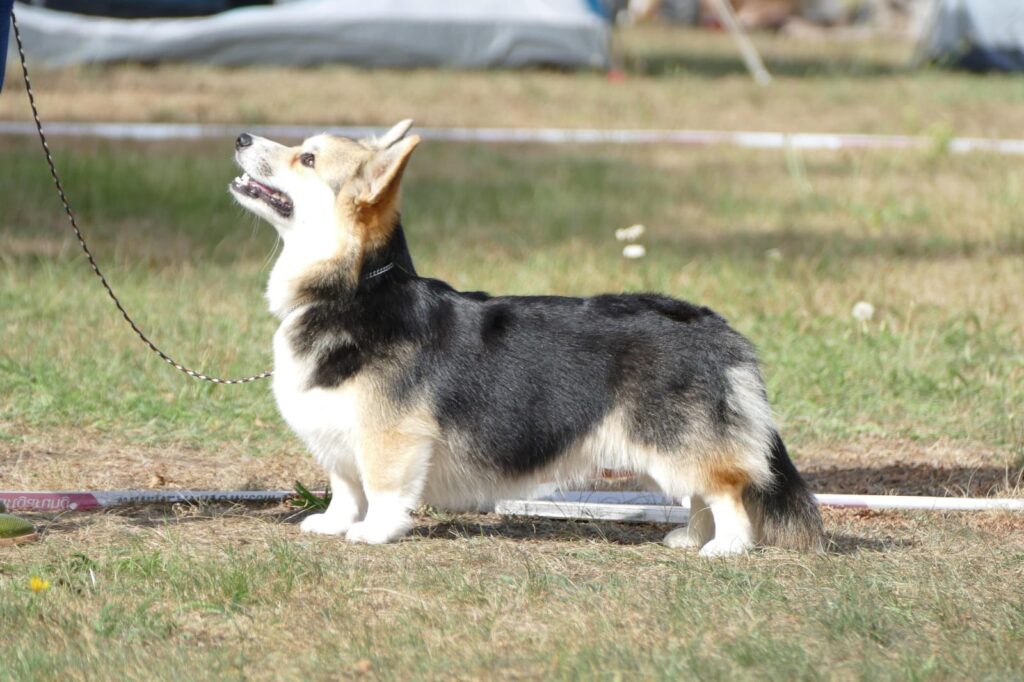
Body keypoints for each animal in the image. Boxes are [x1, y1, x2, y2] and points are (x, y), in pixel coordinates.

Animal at [230, 121, 824, 556]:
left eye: (306, 159)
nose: (240, 137)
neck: (351, 291)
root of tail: (717, 328)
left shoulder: (389, 437)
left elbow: (381, 490)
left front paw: (374, 532)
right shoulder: (337, 435)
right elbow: (344, 487)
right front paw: (331, 523)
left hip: (674, 439)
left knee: (727, 491)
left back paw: (725, 547)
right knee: (700, 493)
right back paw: (689, 537)